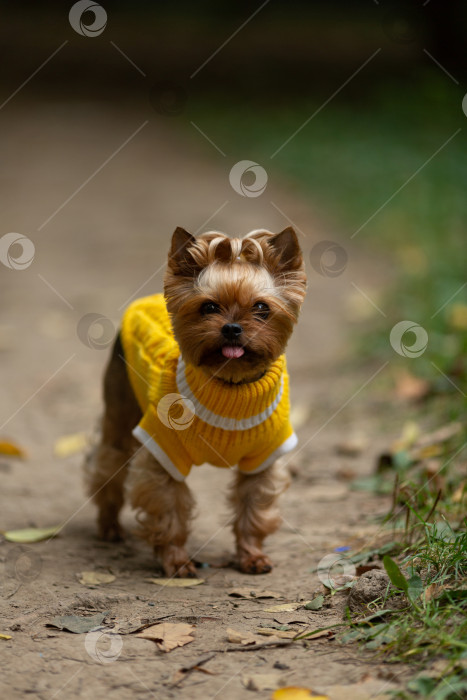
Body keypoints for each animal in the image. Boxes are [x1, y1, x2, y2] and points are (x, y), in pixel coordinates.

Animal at [85, 227, 308, 576]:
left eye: (261, 308)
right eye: (209, 308)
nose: (232, 327)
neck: (230, 385)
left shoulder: (263, 459)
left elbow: (253, 508)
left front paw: (252, 556)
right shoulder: (163, 452)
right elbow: (170, 510)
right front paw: (176, 561)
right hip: (120, 415)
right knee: (105, 464)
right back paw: (109, 527)